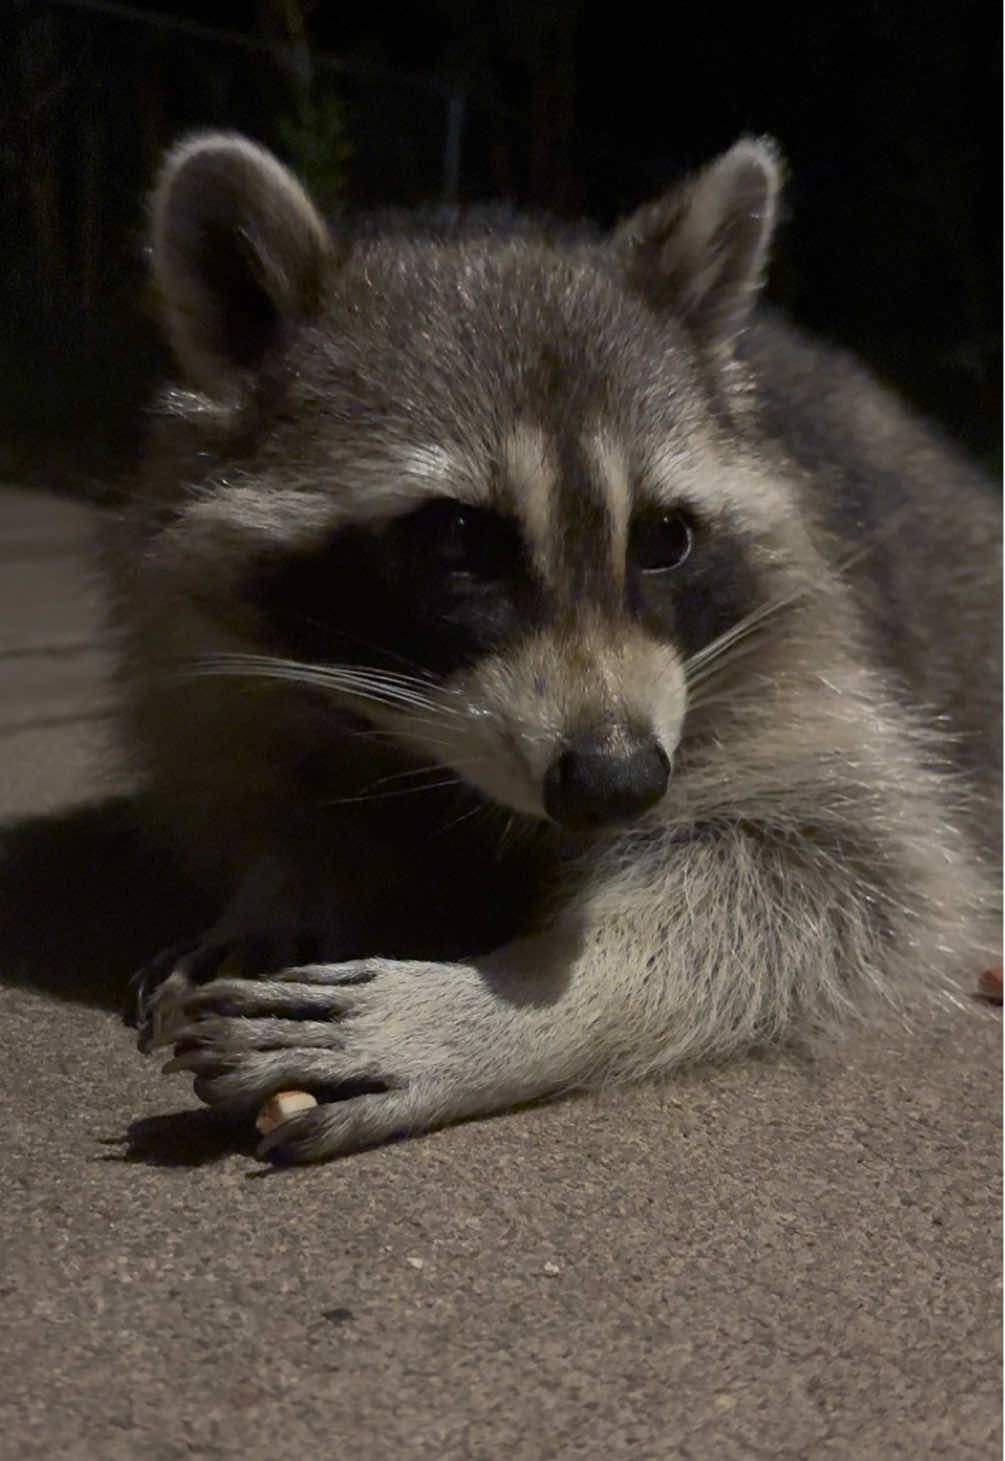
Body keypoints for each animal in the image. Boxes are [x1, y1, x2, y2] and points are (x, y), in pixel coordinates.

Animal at [110, 131, 1001, 1164]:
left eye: (664, 538)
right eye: (459, 540)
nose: (617, 780)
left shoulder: (787, 653)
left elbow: (845, 869)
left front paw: (493, 1014)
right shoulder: (202, 630)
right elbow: (243, 764)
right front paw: (280, 877)